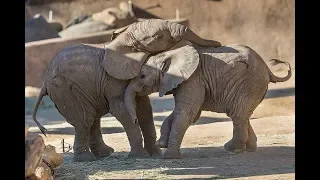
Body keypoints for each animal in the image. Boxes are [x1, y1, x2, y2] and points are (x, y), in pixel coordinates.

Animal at [123, 44, 292, 159]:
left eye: (142, 76)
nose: (135, 119)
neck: (170, 54)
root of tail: (268, 69)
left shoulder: (193, 79)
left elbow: (187, 112)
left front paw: (169, 157)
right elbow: (191, 113)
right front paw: (161, 144)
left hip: (250, 83)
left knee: (238, 115)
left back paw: (234, 149)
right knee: (241, 115)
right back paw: (246, 148)